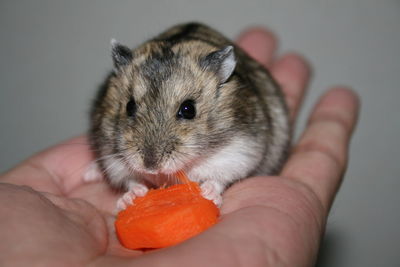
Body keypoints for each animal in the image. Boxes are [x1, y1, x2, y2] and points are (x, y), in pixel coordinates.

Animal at [86, 22, 290, 211]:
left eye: (188, 109)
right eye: (129, 106)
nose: (151, 167)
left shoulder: (240, 153)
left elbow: (219, 179)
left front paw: (208, 194)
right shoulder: (113, 160)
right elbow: (131, 180)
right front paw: (130, 198)